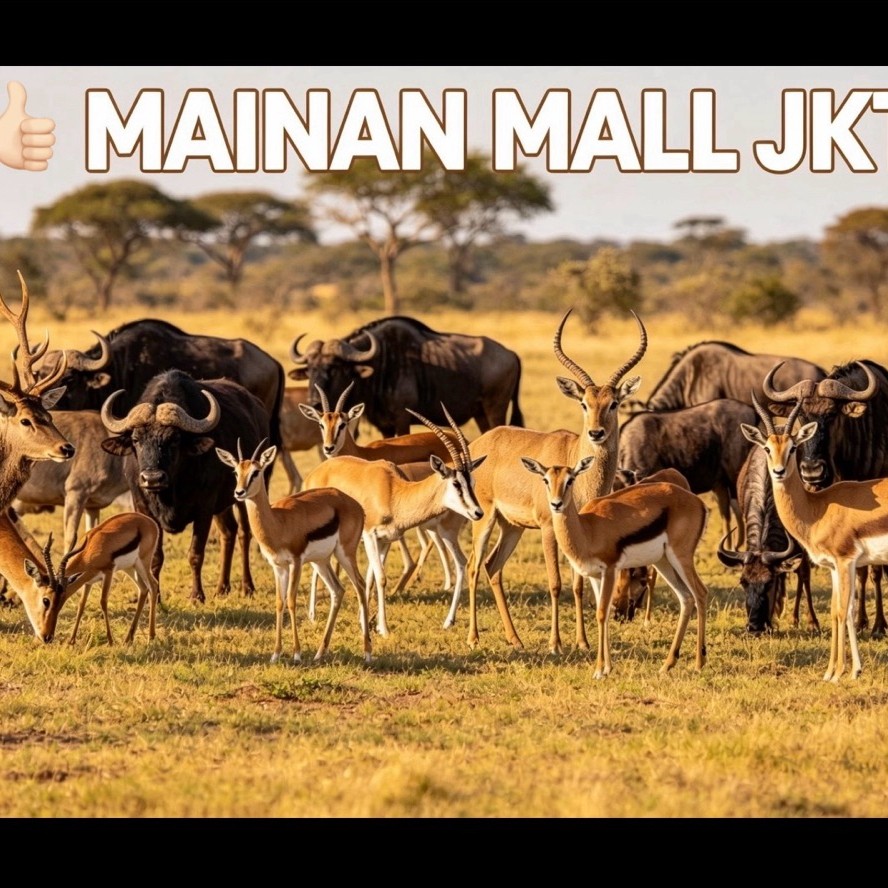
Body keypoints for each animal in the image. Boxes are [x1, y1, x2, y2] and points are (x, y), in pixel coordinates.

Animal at [216, 438, 372, 665]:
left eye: (256, 472)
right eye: (236, 472)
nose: (239, 492)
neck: (278, 522)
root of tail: (356, 505)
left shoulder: (296, 562)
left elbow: (291, 600)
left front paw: (297, 653)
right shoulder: (278, 566)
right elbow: (279, 602)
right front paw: (275, 654)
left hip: (345, 554)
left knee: (360, 587)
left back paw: (367, 652)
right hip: (321, 561)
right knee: (338, 590)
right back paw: (319, 653)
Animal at [301, 405, 487, 638]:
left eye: (472, 482)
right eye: (455, 483)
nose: (478, 512)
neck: (393, 492)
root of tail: (316, 472)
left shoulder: (385, 540)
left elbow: (371, 578)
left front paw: (366, 622)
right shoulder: (370, 536)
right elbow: (381, 578)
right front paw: (384, 628)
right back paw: (311, 616)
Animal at [465, 309, 647, 654]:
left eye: (613, 403)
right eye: (584, 403)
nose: (596, 433)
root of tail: (480, 444)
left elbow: (577, 584)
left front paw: (583, 642)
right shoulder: (550, 528)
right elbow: (555, 583)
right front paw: (556, 644)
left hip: (513, 526)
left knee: (493, 567)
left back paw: (515, 639)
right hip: (485, 519)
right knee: (472, 566)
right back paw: (473, 637)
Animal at [521, 456, 710, 678]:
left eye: (570, 480)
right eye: (546, 480)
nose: (556, 504)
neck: (588, 530)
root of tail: (697, 502)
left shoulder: (610, 570)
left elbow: (602, 613)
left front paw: (599, 670)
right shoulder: (595, 576)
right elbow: (602, 613)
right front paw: (607, 668)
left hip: (681, 557)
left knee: (700, 593)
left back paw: (699, 663)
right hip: (663, 562)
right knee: (686, 598)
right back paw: (667, 665)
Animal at [740, 393, 888, 681]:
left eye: (792, 448)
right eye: (767, 448)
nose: (778, 472)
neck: (818, 508)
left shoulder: (846, 561)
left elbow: (842, 611)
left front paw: (841, 672)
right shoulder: (833, 566)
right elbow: (837, 611)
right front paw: (840, 671)